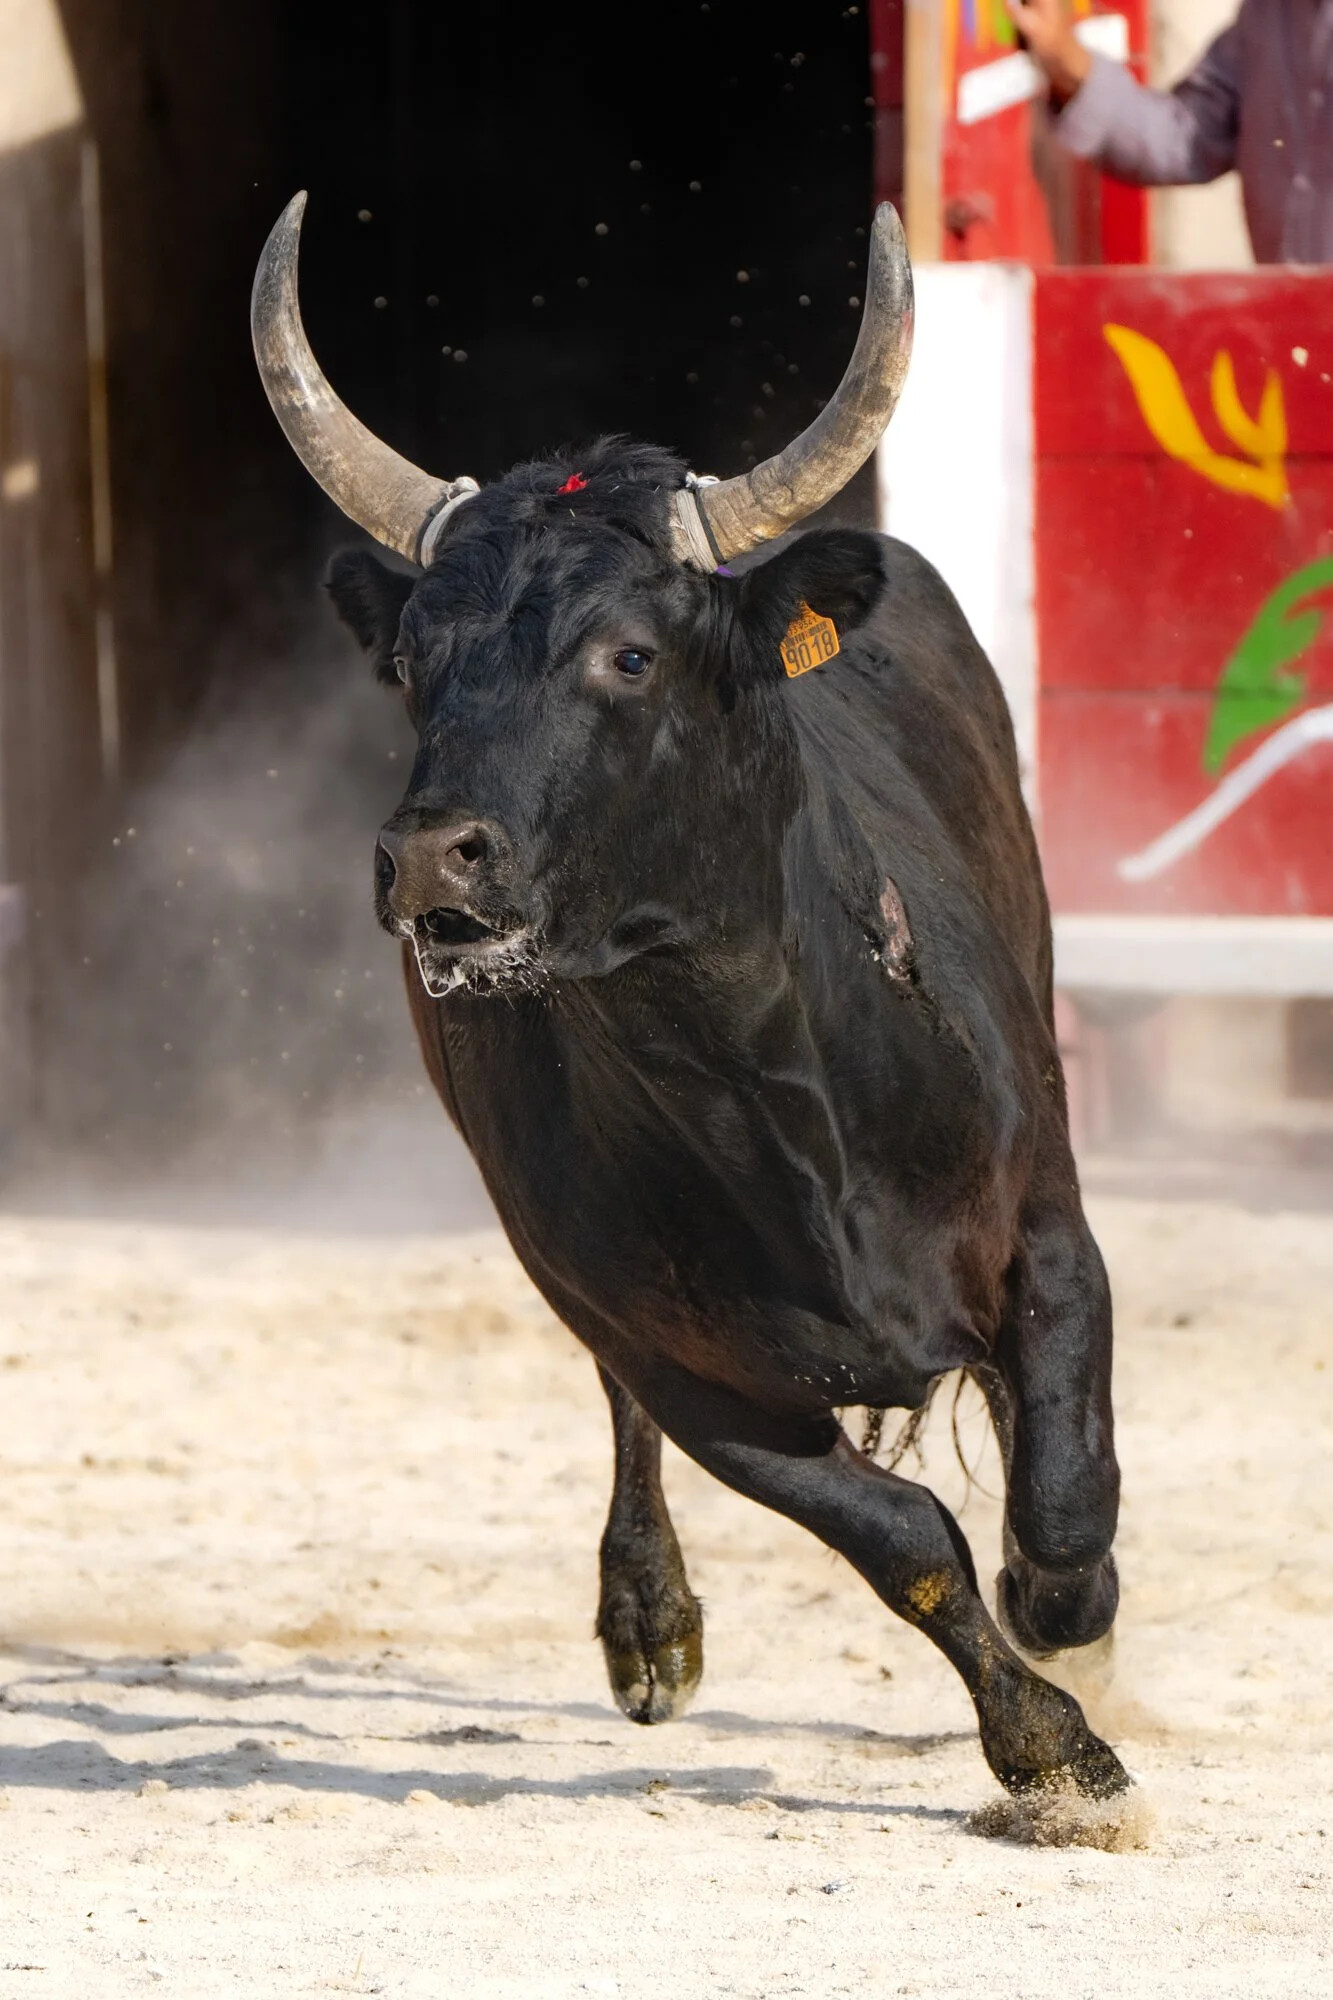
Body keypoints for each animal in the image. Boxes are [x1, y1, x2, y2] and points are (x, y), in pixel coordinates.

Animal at [252, 192, 1128, 1802]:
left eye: (630, 652)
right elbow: (907, 1544)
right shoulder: (694, 1373)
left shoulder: (1050, 1229)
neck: (767, 1087)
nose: (431, 856)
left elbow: (1058, 1499)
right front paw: (1050, 1752)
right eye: (413, 664)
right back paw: (647, 1626)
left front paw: (1070, 1637)